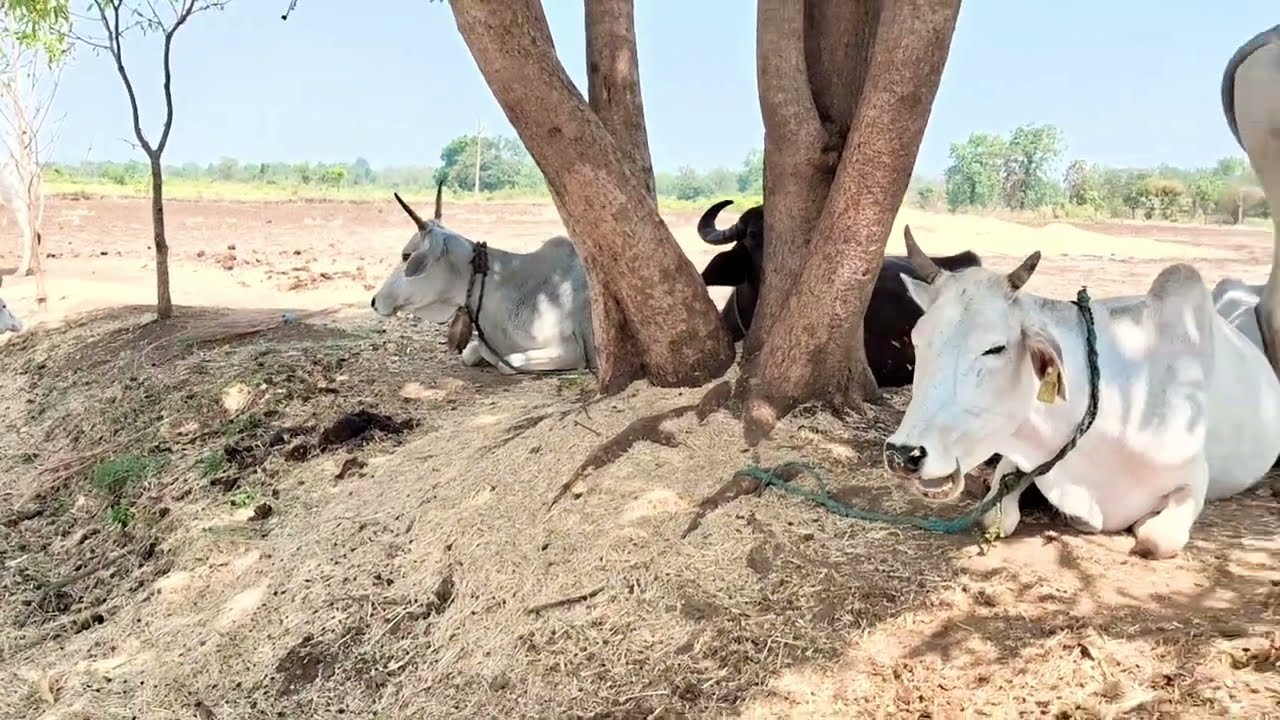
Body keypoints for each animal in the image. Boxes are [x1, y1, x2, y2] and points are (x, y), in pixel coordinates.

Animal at [881, 226, 1280, 559]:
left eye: (995, 348)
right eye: (917, 339)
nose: (904, 454)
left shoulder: (1193, 480)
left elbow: (1156, 539)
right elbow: (996, 516)